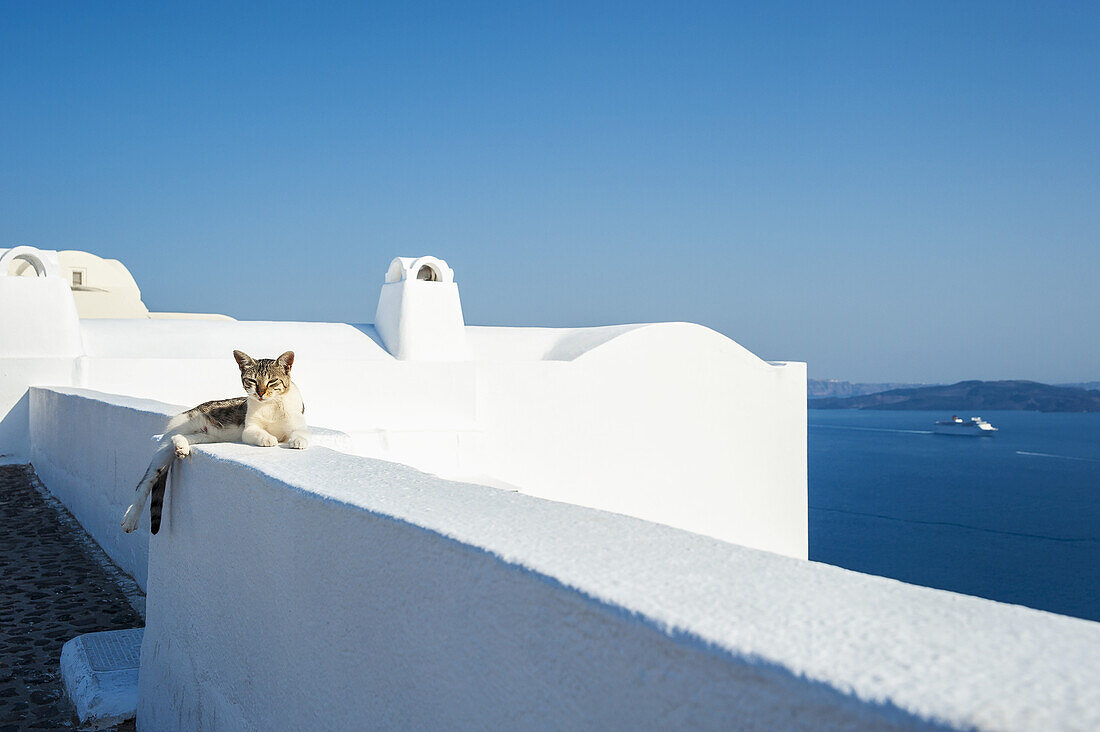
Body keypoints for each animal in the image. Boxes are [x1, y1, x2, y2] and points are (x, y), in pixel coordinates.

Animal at [121, 347, 310, 530]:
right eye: (252, 381)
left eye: (272, 381)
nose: (261, 393)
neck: (271, 405)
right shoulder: (249, 429)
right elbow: (259, 433)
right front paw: (268, 439)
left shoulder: (298, 424)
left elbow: (300, 433)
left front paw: (298, 441)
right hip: (170, 443)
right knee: (145, 481)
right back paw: (131, 518)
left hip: (206, 436)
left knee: (179, 437)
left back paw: (182, 447)